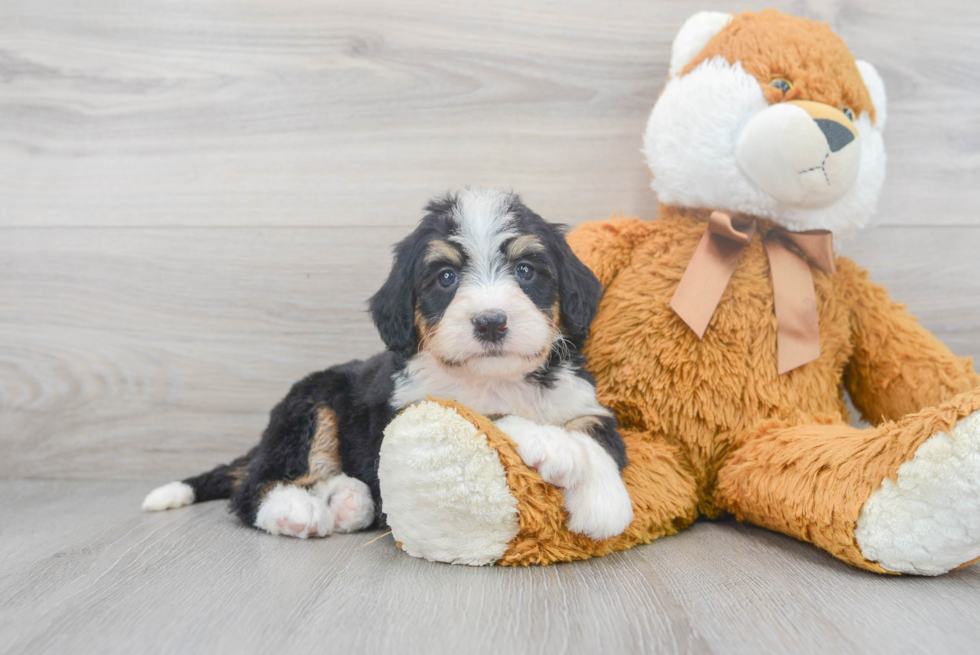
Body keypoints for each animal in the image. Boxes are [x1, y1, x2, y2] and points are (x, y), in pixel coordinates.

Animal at [144, 190, 636, 544]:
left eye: (526, 270)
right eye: (445, 278)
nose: (491, 322)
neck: (495, 378)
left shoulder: (580, 397)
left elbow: (597, 433)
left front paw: (604, 503)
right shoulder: (409, 415)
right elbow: (482, 415)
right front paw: (552, 446)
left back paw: (346, 500)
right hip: (311, 406)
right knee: (253, 486)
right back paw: (295, 511)